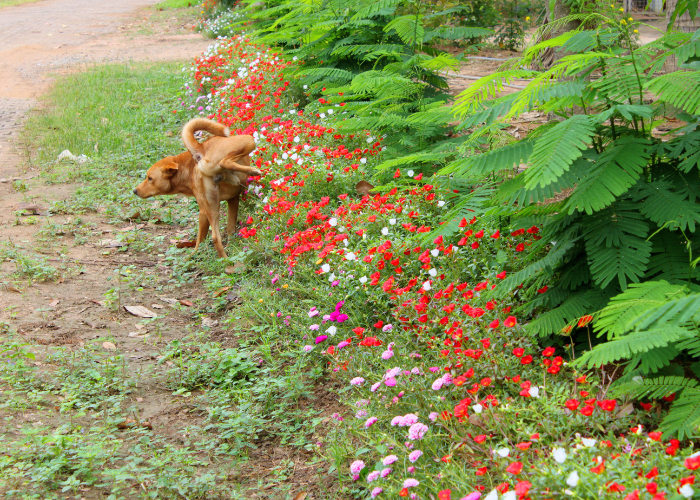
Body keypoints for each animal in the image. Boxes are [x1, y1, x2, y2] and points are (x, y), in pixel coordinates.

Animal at [133, 118, 262, 258]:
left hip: (212, 206)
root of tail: (201, 148)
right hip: (248, 140)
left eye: (150, 178)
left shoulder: (207, 209)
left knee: (215, 237)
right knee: (225, 162)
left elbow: (207, 236)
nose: (134, 191)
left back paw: (224, 259)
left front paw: (195, 254)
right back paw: (253, 170)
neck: (187, 167)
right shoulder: (231, 199)